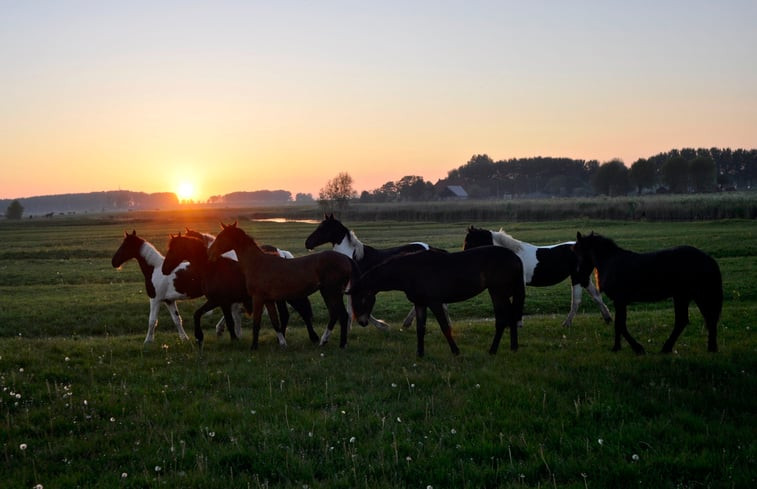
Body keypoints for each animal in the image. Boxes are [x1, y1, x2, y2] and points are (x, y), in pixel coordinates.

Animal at [207, 219, 360, 348]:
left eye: (221, 237)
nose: (210, 253)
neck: (257, 263)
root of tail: (346, 259)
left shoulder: (258, 298)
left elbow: (257, 323)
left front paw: (254, 346)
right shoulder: (268, 300)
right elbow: (275, 322)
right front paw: (282, 343)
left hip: (331, 292)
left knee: (342, 315)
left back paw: (340, 344)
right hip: (327, 292)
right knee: (335, 314)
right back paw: (324, 341)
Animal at [302, 214, 442, 328]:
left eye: (323, 228)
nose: (307, 243)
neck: (352, 258)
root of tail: (429, 248)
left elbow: (353, 309)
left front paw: (380, 325)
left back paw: (407, 323)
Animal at [346, 248, 524, 354]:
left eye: (362, 299)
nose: (362, 322)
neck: (411, 271)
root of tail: (515, 258)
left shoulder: (435, 302)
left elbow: (445, 327)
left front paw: (456, 351)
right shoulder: (420, 304)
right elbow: (420, 329)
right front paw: (420, 355)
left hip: (498, 291)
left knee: (503, 318)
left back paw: (493, 350)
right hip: (500, 292)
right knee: (511, 316)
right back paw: (513, 347)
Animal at [460, 226, 616, 326]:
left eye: (470, 241)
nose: (463, 258)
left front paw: (517, 324)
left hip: (578, 277)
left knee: (576, 301)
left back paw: (567, 323)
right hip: (584, 278)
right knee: (596, 296)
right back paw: (607, 319)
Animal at [572, 231, 720, 352]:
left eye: (577, 252)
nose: (581, 280)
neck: (611, 262)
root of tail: (707, 258)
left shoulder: (620, 301)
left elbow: (620, 325)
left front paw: (636, 348)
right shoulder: (620, 302)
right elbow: (619, 325)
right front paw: (617, 347)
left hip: (688, 296)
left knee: (695, 320)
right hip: (688, 296)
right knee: (697, 319)